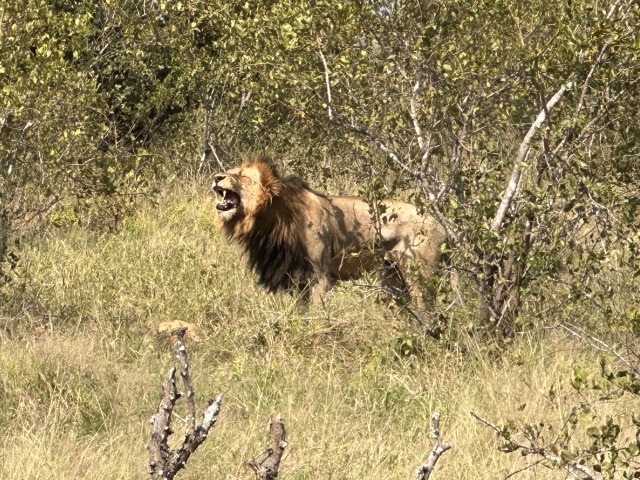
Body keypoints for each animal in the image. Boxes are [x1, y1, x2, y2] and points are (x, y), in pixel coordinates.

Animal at [212, 157, 448, 308]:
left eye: (241, 175)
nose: (216, 177)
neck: (271, 218)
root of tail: (440, 224)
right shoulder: (296, 274)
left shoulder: (319, 274)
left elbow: (318, 310)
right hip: (391, 274)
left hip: (418, 273)